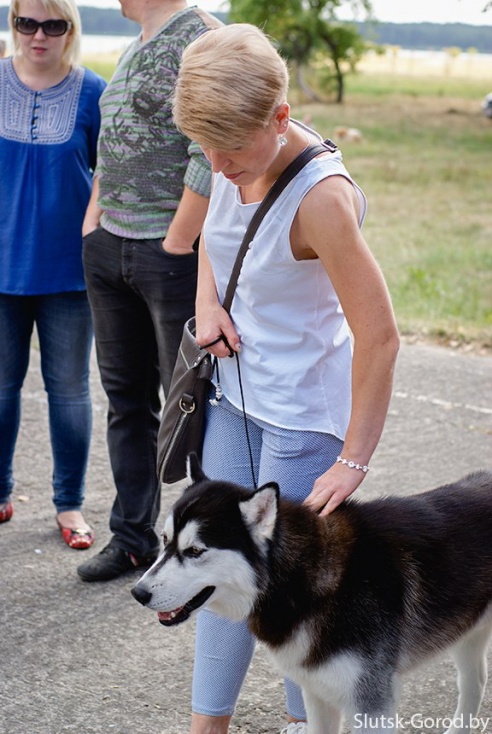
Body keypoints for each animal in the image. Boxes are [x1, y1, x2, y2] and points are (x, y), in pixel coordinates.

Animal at [131, 458, 492, 732]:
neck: (303, 579)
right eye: (164, 541)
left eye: (194, 551)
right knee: (474, 682)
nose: (138, 592)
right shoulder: (317, 691)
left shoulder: (371, 703)